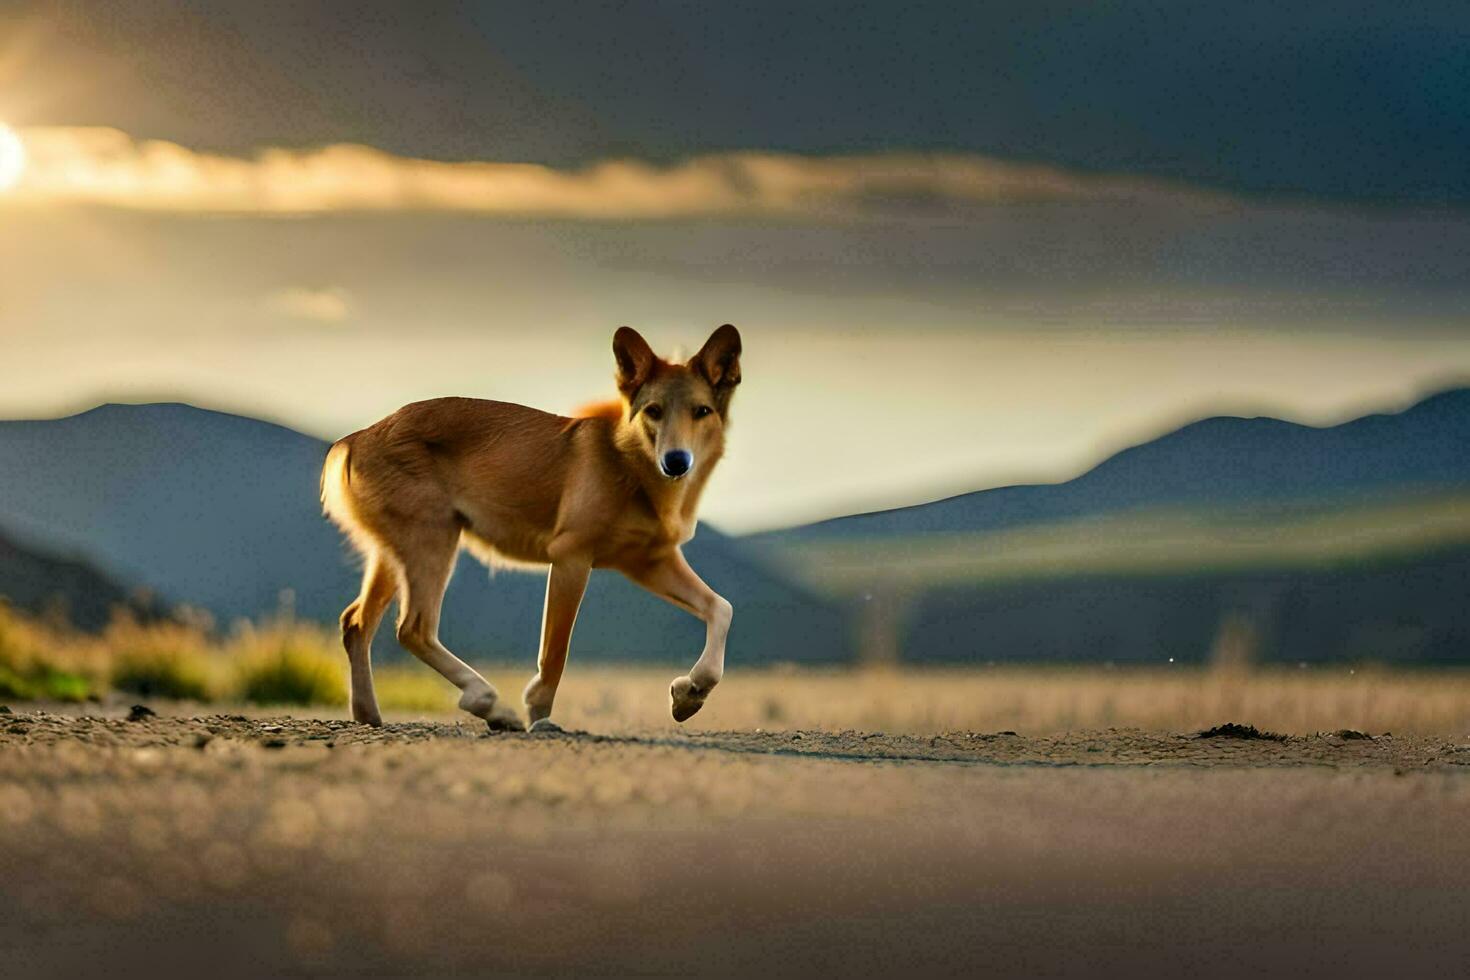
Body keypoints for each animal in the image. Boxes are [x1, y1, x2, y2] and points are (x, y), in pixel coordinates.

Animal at [318, 323, 735, 728]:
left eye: (701, 411)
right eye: (654, 410)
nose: (676, 461)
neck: (630, 466)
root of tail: (356, 437)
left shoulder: (647, 561)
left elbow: (721, 607)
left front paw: (690, 692)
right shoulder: (571, 557)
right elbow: (556, 650)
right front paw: (540, 712)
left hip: (394, 554)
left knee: (356, 623)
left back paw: (369, 714)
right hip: (432, 541)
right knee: (413, 628)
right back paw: (488, 703)